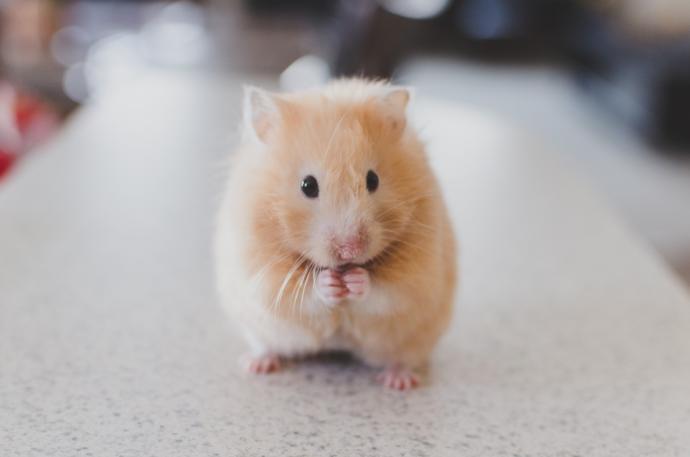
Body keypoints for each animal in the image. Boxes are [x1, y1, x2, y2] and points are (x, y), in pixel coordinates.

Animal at [215, 78, 457, 390]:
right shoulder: (261, 271)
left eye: (373, 180)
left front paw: (355, 280)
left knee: (403, 358)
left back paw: (399, 381)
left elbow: (386, 290)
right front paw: (330, 283)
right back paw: (256, 364)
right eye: (308, 185)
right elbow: (300, 292)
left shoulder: (418, 273)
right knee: (266, 345)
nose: (350, 250)